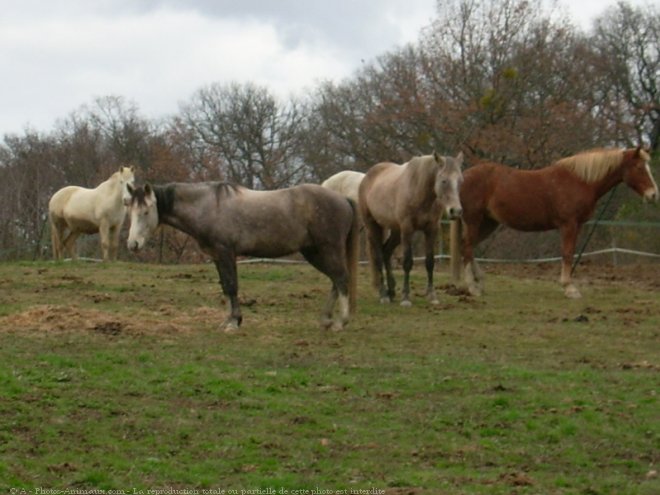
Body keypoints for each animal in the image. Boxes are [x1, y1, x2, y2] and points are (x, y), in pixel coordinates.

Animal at [126, 182, 358, 334]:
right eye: (130, 210)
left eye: (146, 211)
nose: (133, 244)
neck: (210, 207)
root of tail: (343, 200)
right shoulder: (218, 257)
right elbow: (225, 287)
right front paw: (229, 320)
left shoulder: (227, 253)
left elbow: (231, 286)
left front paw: (234, 322)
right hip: (313, 252)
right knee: (335, 280)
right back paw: (327, 319)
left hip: (328, 249)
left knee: (341, 278)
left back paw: (341, 322)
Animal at [360, 151, 464, 306]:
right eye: (444, 181)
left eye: (460, 181)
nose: (455, 211)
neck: (418, 190)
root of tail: (367, 177)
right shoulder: (407, 229)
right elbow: (407, 262)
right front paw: (406, 297)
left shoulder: (431, 229)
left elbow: (430, 262)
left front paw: (432, 296)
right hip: (373, 226)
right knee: (378, 256)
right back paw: (384, 294)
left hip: (396, 231)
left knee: (386, 252)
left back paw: (391, 291)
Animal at [456, 147, 656, 298]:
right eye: (639, 167)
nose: (654, 195)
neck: (580, 180)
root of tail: (462, 177)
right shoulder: (568, 224)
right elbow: (567, 254)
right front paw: (569, 288)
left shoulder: (577, 225)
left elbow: (570, 253)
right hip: (474, 220)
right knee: (467, 248)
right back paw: (472, 287)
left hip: (488, 224)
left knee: (469, 248)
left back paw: (479, 281)